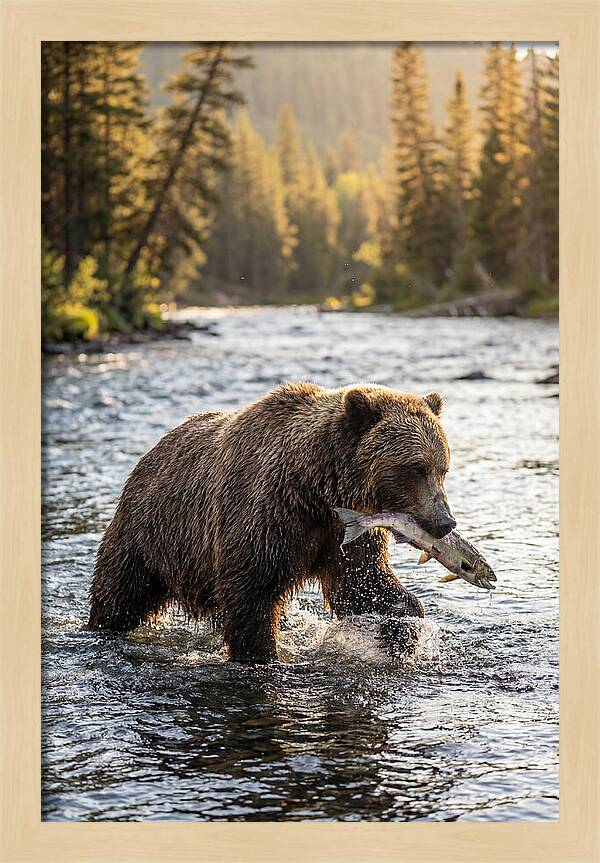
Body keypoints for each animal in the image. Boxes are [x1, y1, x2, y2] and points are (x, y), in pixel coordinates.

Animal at [88, 383, 455, 662]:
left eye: (442, 468)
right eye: (415, 468)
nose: (445, 522)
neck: (316, 488)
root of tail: (151, 452)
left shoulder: (344, 530)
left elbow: (362, 582)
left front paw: (403, 626)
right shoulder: (267, 514)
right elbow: (251, 593)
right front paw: (261, 654)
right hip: (150, 532)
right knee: (120, 592)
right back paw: (100, 627)